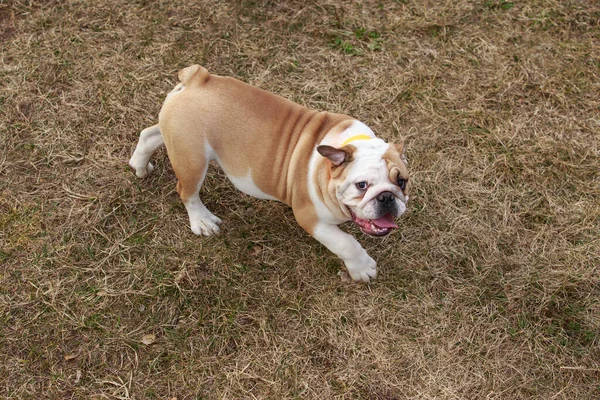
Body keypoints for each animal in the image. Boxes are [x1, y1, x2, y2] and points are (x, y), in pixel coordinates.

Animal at [127, 65, 408, 282]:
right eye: (362, 185)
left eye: (402, 182)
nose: (387, 197)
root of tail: (198, 78)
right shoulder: (311, 218)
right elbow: (346, 242)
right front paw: (362, 268)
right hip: (192, 159)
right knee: (187, 192)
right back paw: (202, 221)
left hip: (176, 134)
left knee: (150, 134)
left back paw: (140, 166)